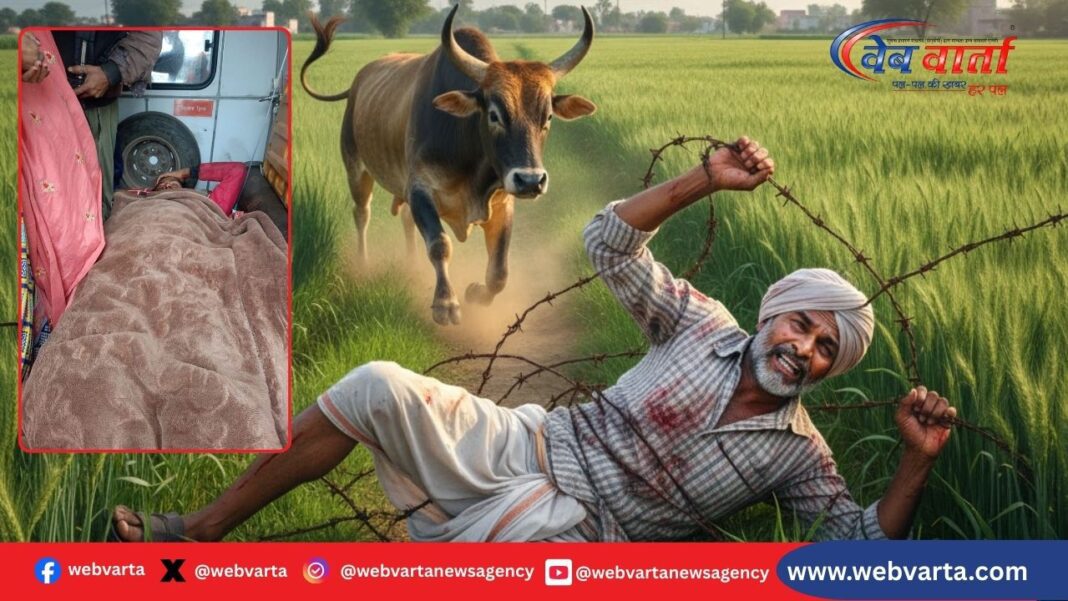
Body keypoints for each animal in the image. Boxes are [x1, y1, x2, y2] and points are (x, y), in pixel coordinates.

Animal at [300, 5, 596, 325]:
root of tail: (358, 82)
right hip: (356, 168)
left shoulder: (502, 202)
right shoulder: (421, 190)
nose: (531, 181)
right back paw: (364, 263)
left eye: (548, 116)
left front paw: (476, 293)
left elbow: (499, 271)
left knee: (405, 219)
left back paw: (412, 265)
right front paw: (445, 303)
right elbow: (440, 244)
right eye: (494, 114)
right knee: (361, 214)